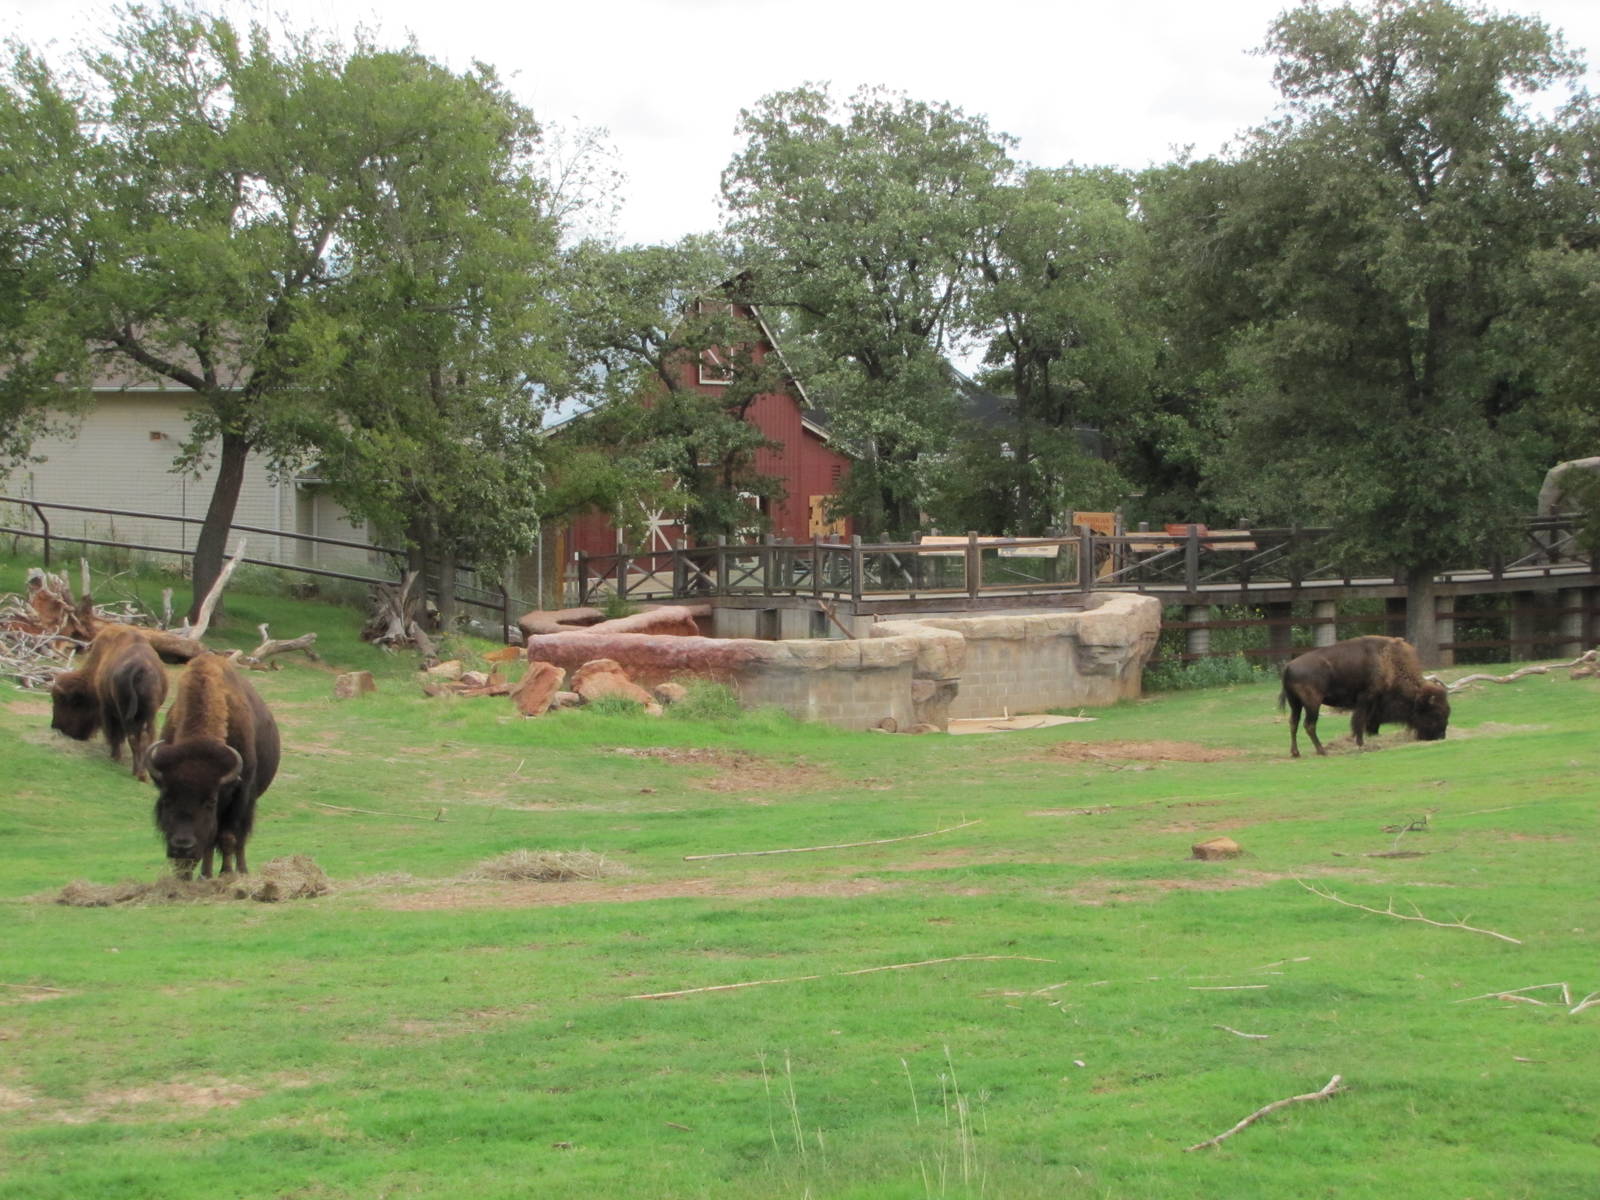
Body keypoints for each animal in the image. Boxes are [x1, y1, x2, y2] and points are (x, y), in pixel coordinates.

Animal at [50, 623, 168, 780]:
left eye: (61, 702)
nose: (55, 725)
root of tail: (141, 668)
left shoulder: (106, 708)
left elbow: (114, 733)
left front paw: (114, 756)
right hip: (149, 713)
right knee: (146, 738)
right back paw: (143, 774)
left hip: (126, 712)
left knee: (132, 737)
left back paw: (134, 771)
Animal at [146, 654, 280, 878]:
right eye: (166, 799)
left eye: (210, 802)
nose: (182, 847)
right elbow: (207, 842)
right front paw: (189, 875)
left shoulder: (240, 795)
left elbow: (228, 837)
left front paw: (226, 873)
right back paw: (206, 874)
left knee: (239, 839)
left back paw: (241, 870)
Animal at [1279, 636, 1450, 758]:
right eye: (1434, 712)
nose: (1440, 736)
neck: (1387, 661)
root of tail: (1289, 667)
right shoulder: (1366, 698)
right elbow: (1360, 720)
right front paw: (1361, 743)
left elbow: (1364, 720)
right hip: (1312, 704)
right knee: (1309, 725)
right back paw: (1322, 751)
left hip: (1295, 703)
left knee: (1293, 723)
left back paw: (1296, 753)